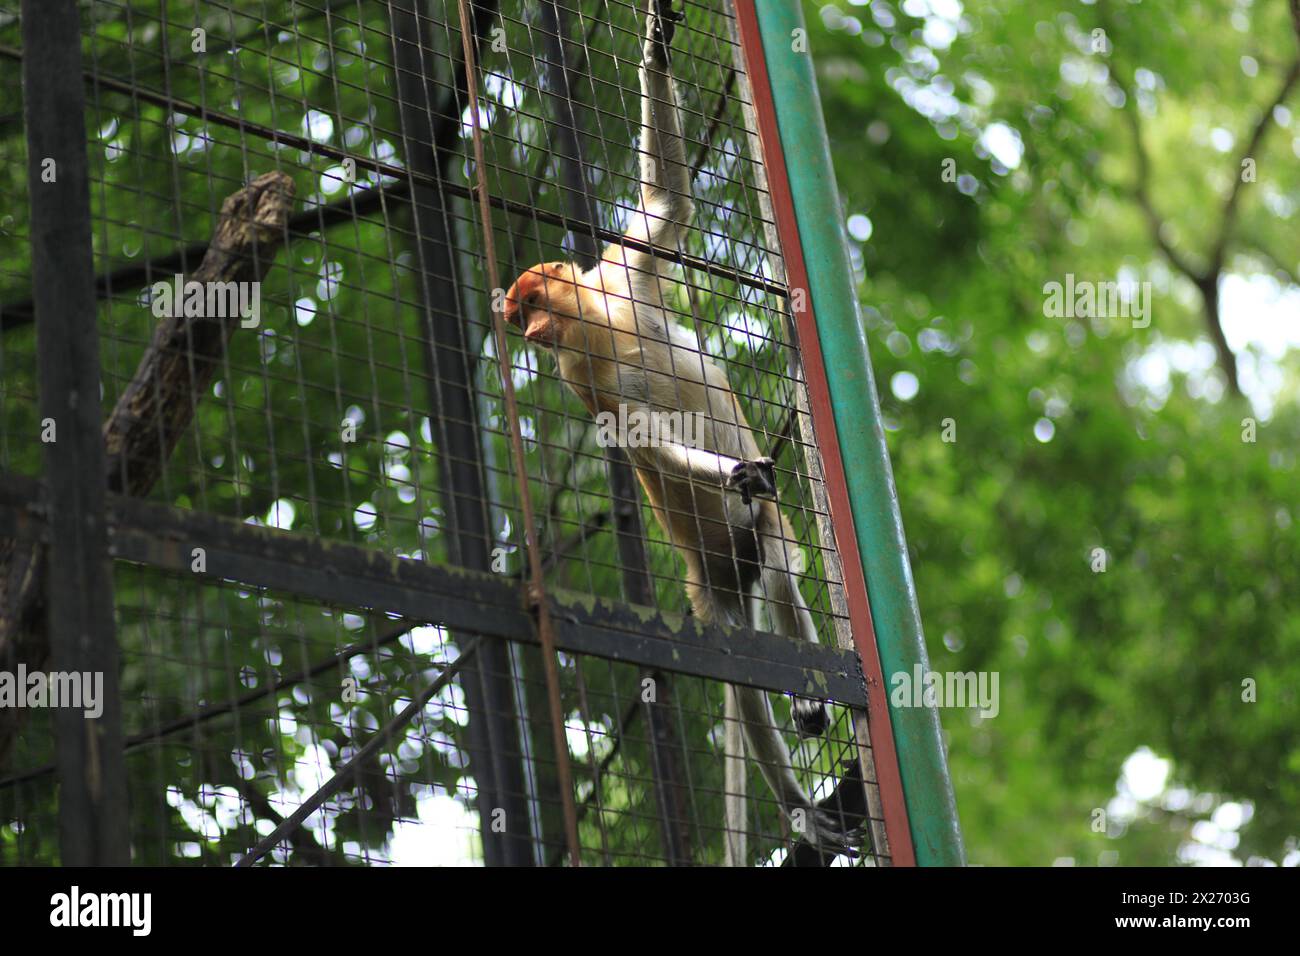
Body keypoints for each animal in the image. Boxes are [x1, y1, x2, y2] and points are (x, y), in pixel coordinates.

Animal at [502, 0, 856, 864]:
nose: (530, 333)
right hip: (709, 592)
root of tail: (722, 576)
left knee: (778, 560)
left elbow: (666, 208)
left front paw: (658, 42)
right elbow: (641, 440)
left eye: (532, 303)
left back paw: (809, 701)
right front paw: (726, 470)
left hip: (753, 554)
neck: (600, 323)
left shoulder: (626, 273)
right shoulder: (582, 378)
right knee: (742, 671)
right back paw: (800, 801)